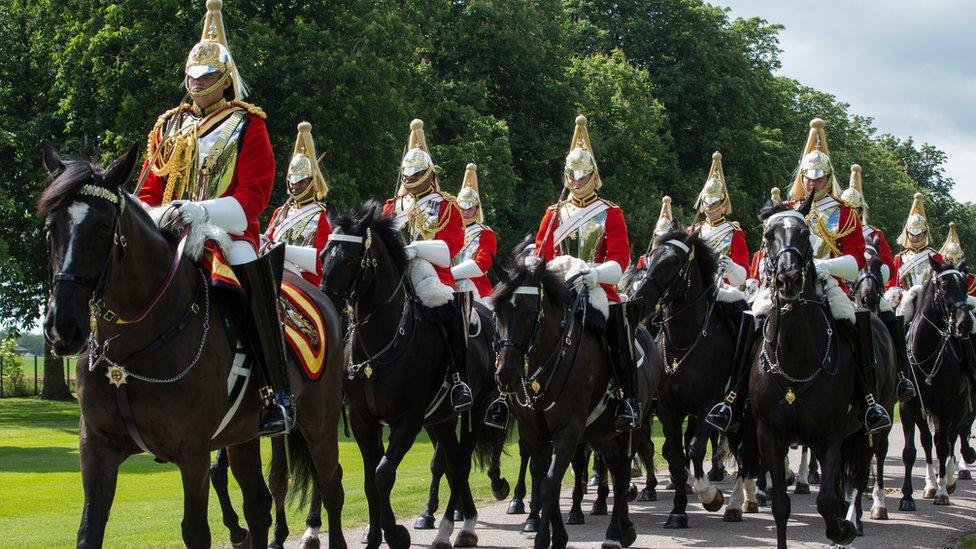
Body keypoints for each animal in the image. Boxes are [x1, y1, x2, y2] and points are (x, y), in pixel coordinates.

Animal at [40, 142, 348, 548]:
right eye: (51, 228)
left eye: (105, 228)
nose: (63, 329)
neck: (129, 352)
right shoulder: (97, 446)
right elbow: (89, 529)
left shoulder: (193, 452)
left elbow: (195, 530)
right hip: (243, 436)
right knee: (259, 503)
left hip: (320, 424)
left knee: (331, 486)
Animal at [324, 202, 500, 548]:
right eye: (324, 253)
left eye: (349, 258)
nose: (326, 302)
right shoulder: (364, 421)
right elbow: (369, 480)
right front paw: (374, 535)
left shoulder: (408, 420)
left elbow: (383, 474)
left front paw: (394, 533)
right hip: (441, 419)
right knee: (453, 462)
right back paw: (458, 523)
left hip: (475, 409)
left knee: (460, 463)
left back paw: (456, 528)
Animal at [492, 256, 660, 548]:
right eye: (498, 312)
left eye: (530, 312)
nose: (506, 375)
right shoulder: (535, 434)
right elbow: (545, 479)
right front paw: (557, 535)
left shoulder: (568, 432)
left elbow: (549, 484)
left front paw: (543, 538)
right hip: (602, 433)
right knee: (615, 467)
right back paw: (623, 529)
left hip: (633, 426)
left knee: (624, 469)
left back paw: (617, 531)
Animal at [624, 228, 740, 528]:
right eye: (652, 257)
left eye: (674, 261)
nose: (638, 302)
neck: (684, 343)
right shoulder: (667, 408)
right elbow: (673, 454)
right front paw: (677, 510)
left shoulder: (708, 405)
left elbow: (697, 448)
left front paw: (708, 494)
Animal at [896, 256, 972, 510]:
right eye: (944, 285)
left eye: (965, 284)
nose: (965, 324)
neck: (925, 352)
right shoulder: (909, 405)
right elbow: (911, 450)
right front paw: (907, 496)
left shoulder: (946, 404)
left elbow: (943, 443)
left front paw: (942, 491)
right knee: (928, 440)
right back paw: (930, 484)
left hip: (957, 404)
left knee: (950, 436)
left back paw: (946, 479)